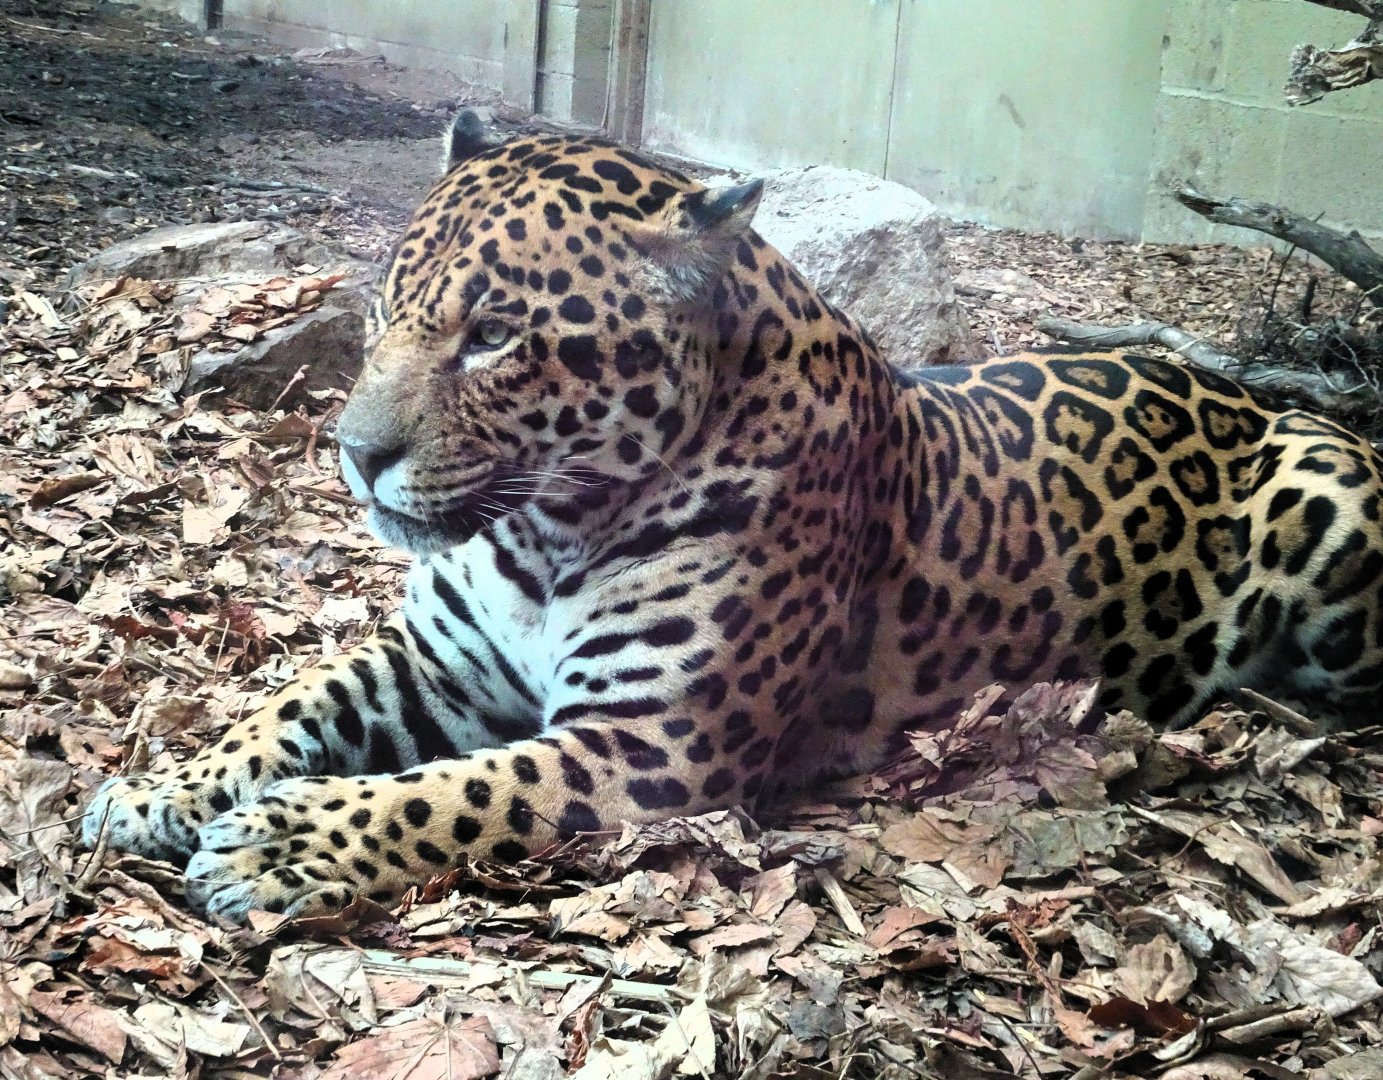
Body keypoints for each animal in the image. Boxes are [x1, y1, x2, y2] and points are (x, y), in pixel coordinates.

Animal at [82, 110, 1383, 924]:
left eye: (494, 335)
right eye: (384, 309)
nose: (355, 457)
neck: (546, 533)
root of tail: (1251, 394)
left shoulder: (651, 747)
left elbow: (450, 794)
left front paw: (276, 845)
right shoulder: (436, 664)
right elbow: (289, 708)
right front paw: (158, 792)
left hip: (1327, 489)